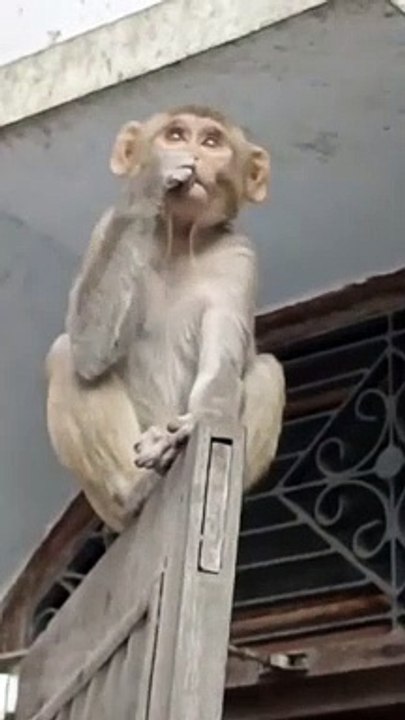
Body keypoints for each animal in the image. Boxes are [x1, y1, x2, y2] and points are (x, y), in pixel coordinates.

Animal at [46, 105, 286, 533]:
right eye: (175, 135)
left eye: (211, 141)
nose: (194, 154)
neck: (180, 238)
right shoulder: (107, 225)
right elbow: (88, 349)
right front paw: (151, 181)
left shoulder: (239, 257)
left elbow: (222, 366)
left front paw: (190, 428)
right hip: (105, 503)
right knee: (65, 355)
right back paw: (132, 492)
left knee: (269, 370)